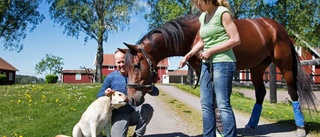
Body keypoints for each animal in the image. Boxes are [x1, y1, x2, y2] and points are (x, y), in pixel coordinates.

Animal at [122, 14, 318, 136]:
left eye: (137, 65)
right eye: (126, 68)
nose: (131, 99)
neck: (194, 33)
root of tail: (279, 28)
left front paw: (221, 130)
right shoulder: (203, 70)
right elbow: (213, 101)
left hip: (284, 66)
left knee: (293, 92)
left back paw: (300, 128)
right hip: (257, 67)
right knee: (261, 93)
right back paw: (250, 126)